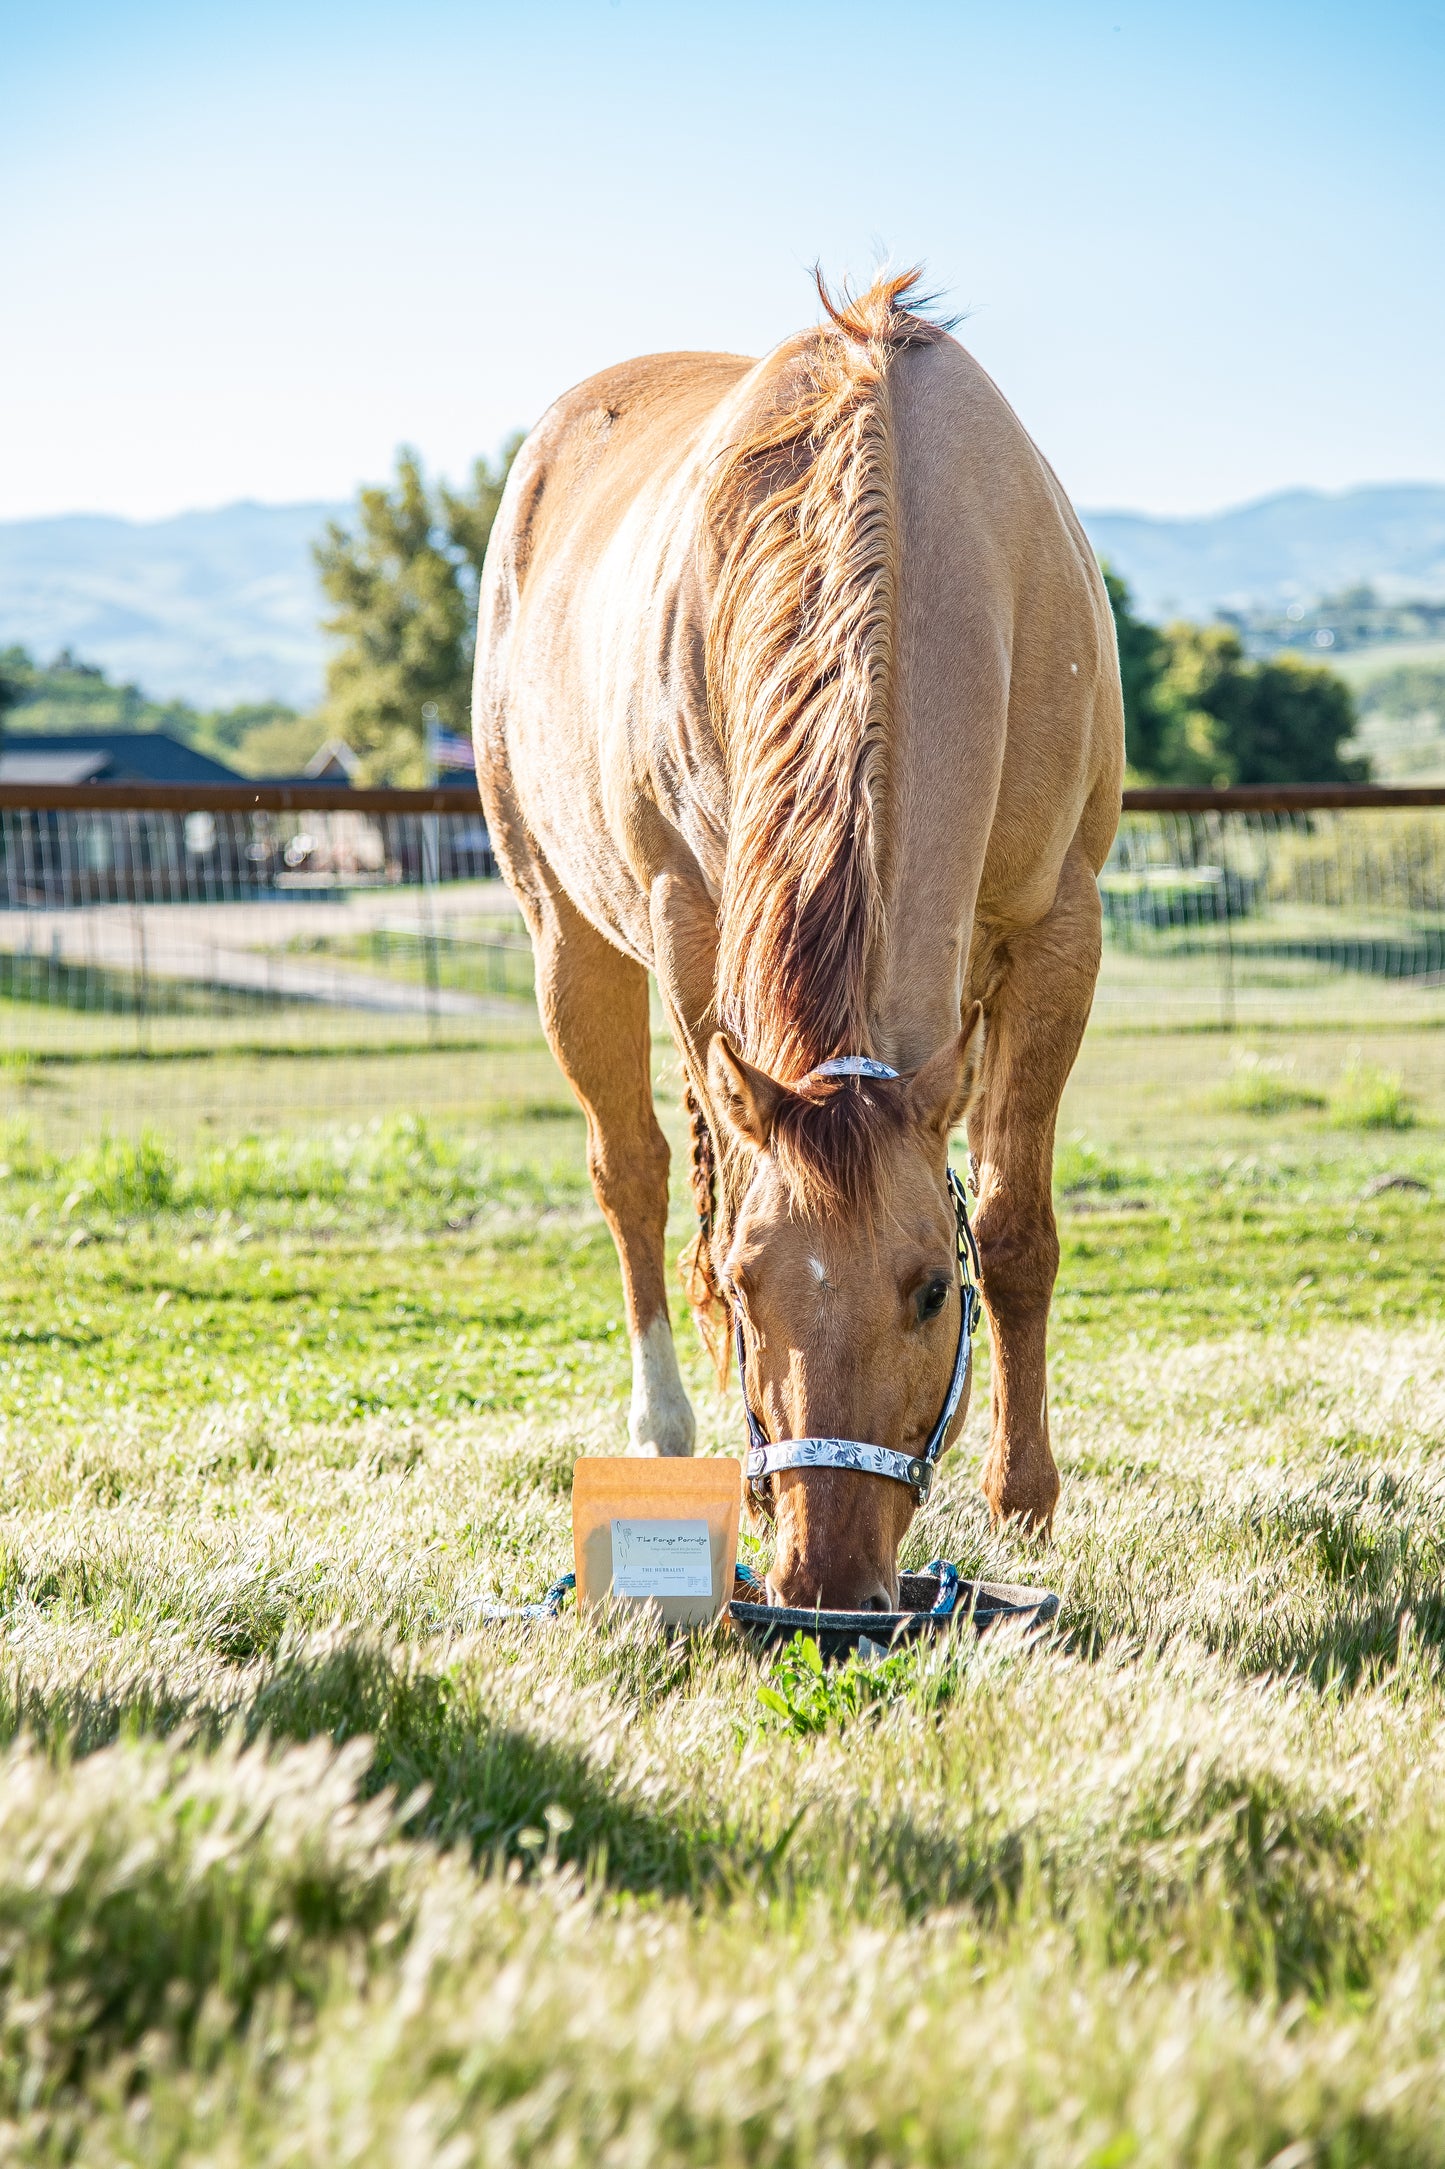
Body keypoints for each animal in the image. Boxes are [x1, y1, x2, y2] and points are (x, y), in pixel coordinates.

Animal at [475, 266, 1128, 1613]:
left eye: (928, 1292)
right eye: (745, 1288)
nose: (825, 1582)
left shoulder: (1059, 930)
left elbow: (1014, 1225)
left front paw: (1023, 1498)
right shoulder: (690, 924)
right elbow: (716, 1191)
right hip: (566, 935)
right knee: (632, 1173)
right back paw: (666, 1433)